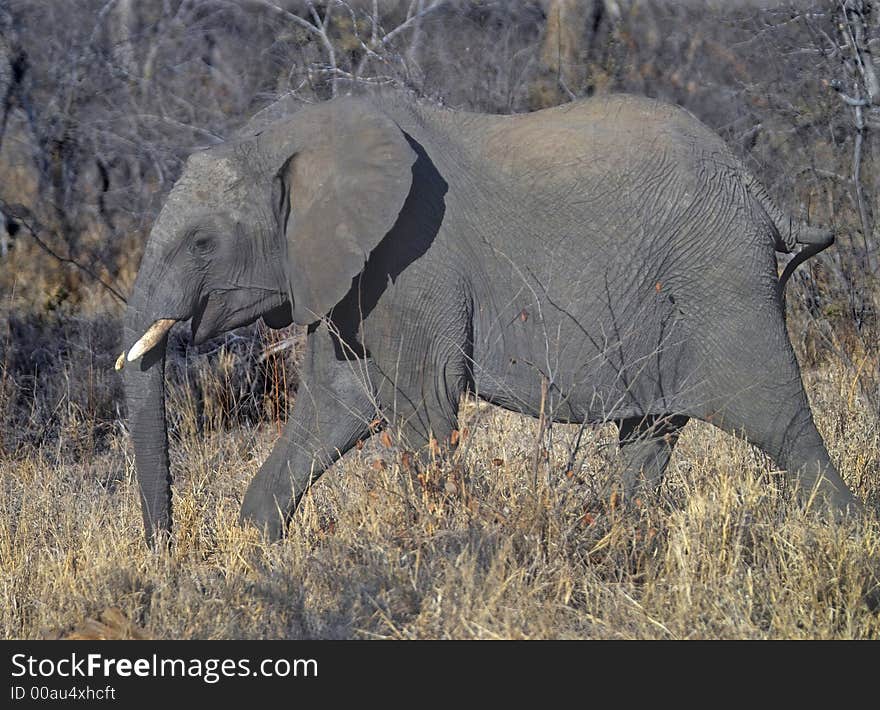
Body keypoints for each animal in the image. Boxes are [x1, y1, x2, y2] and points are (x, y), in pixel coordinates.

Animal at [117, 89, 860, 544]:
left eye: (202, 243)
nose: (166, 549)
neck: (290, 136)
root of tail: (756, 190)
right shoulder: (353, 274)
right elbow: (337, 400)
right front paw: (253, 546)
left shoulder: (412, 258)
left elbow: (420, 404)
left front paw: (442, 544)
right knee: (648, 434)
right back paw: (623, 541)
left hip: (722, 280)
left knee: (781, 421)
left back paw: (846, 533)